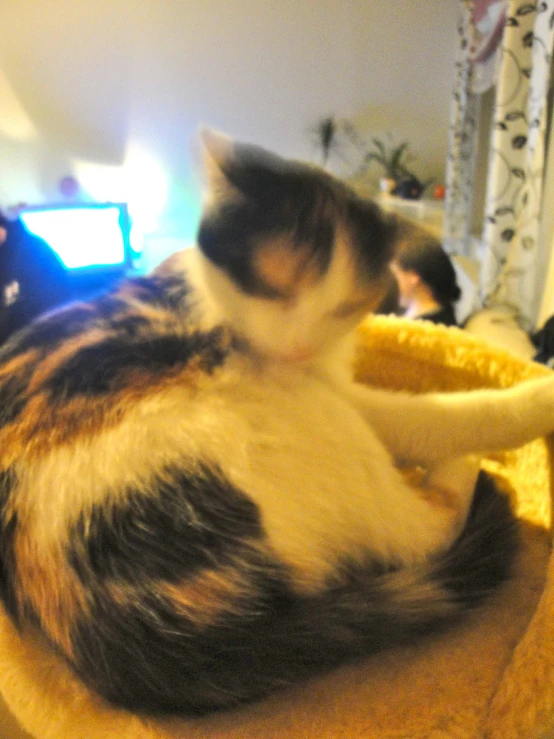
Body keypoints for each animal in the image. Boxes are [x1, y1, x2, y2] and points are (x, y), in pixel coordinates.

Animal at [0, 132, 548, 716]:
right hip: (293, 420)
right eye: (272, 289)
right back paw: (467, 468)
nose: (298, 349)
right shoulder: (338, 394)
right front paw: (539, 398)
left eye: (345, 307)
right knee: (422, 532)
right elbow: (438, 417)